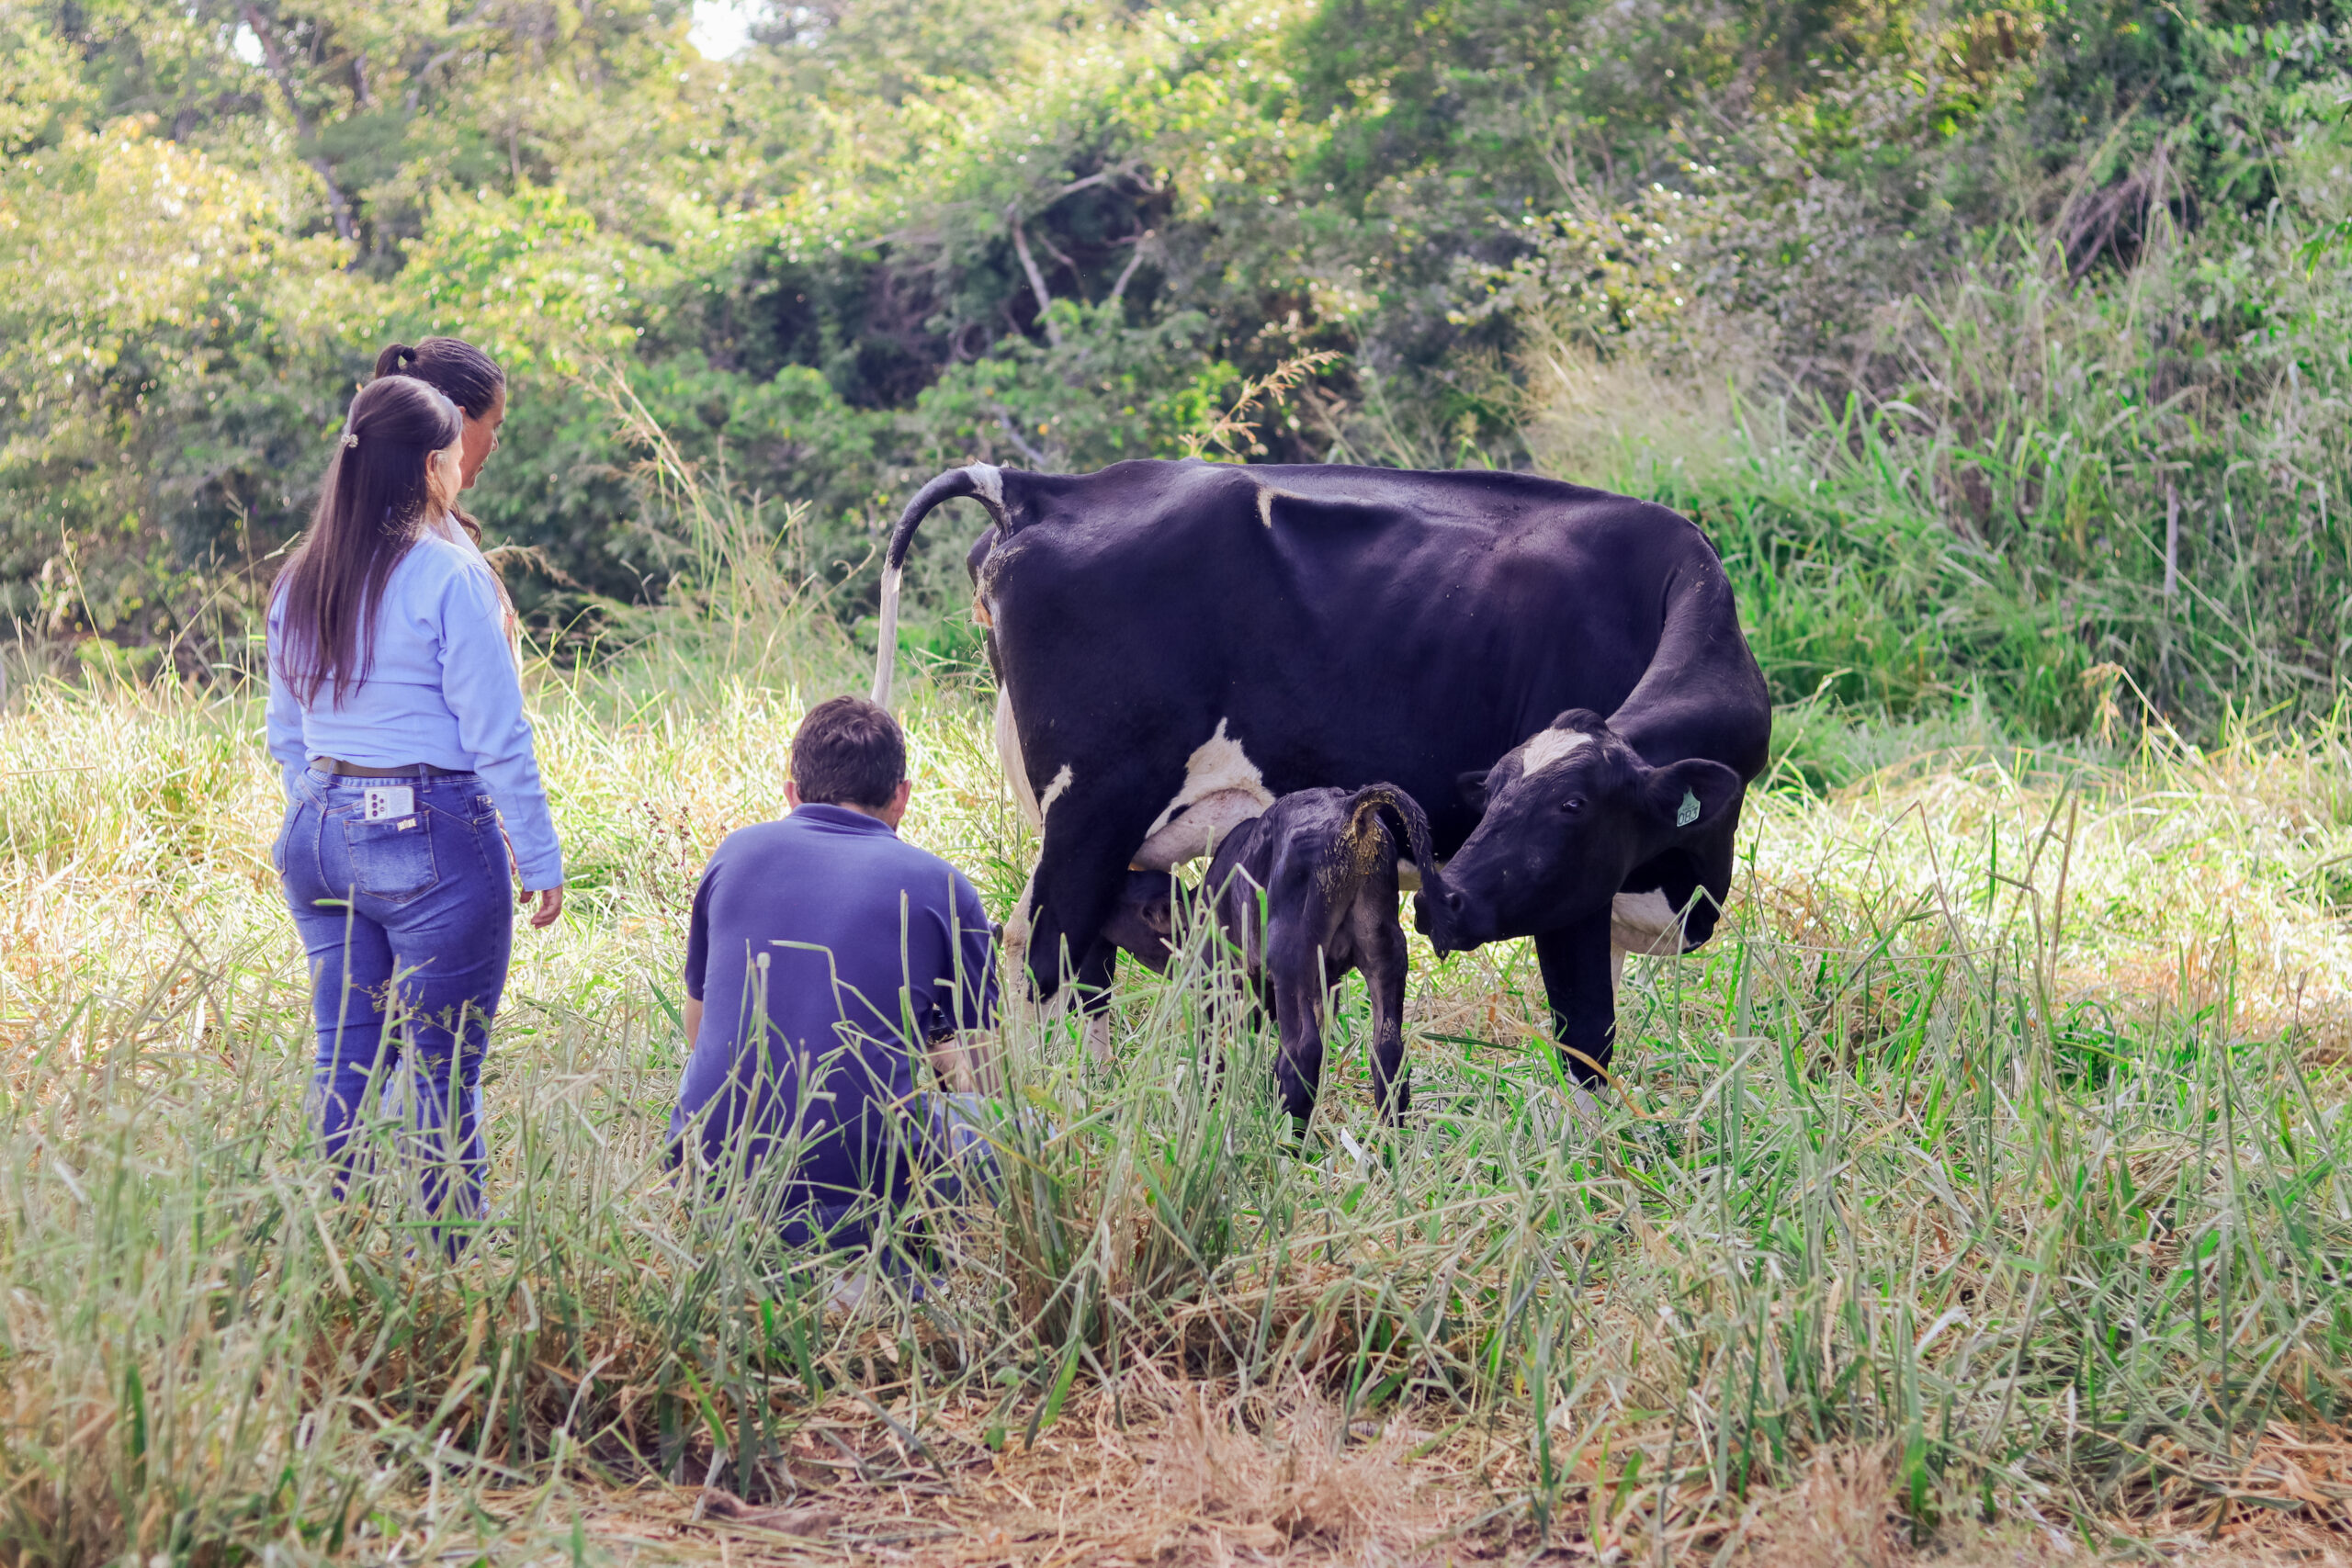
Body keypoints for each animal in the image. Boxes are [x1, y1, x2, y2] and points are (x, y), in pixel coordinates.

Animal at [869, 458, 1771, 1096]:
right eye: (1497, 794)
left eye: (1572, 799)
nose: (1444, 900)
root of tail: (1037, 488)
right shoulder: (1573, 900)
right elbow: (1586, 1036)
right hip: (1093, 804)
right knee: (1038, 954)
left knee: (1085, 965)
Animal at [1107, 783, 1443, 1131]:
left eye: (1122, 898)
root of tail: (1350, 807)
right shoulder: (1325, 988)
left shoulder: (1219, 988)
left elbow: (1216, 1054)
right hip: (1383, 951)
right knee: (1388, 1048)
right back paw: (1387, 1133)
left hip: (1292, 957)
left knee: (1303, 1048)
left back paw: (1289, 1134)